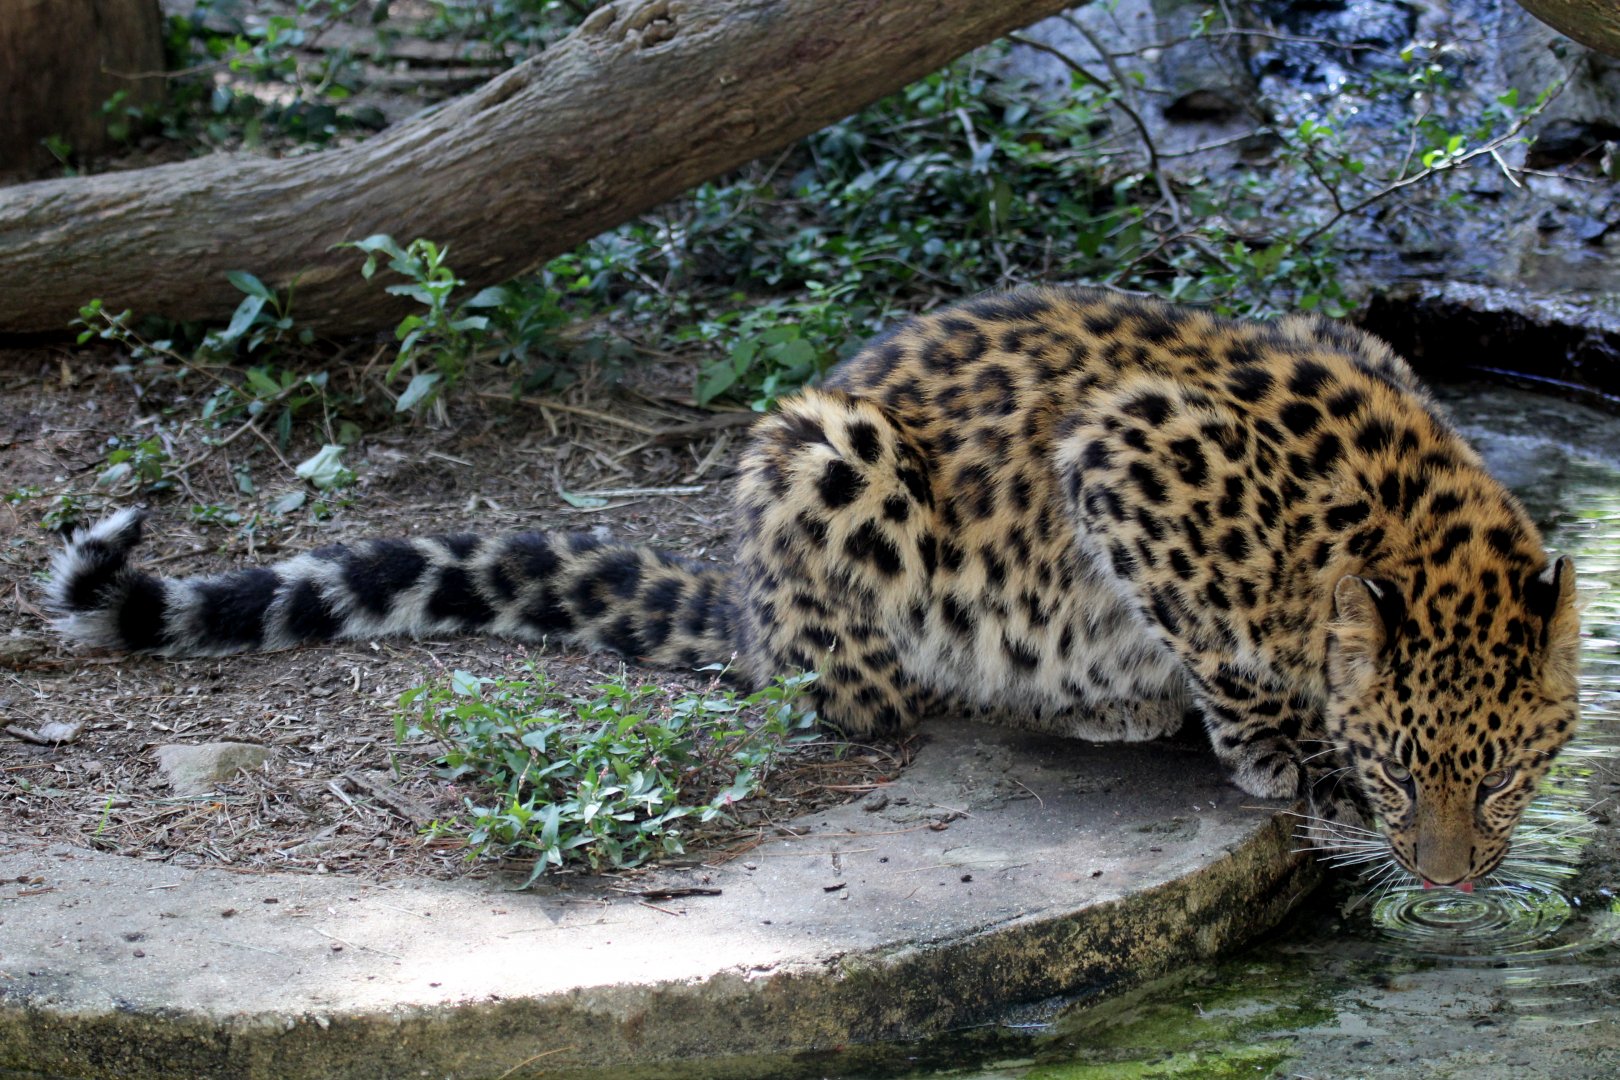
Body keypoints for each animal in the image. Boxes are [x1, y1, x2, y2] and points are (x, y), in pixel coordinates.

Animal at [47, 285, 1581, 890]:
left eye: (1508, 779)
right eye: (1402, 773)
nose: (1451, 885)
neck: (1396, 519)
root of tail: (743, 597)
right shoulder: (1128, 454)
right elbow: (1230, 645)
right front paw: (1285, 754)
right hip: (825, 454)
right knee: (855, 689)